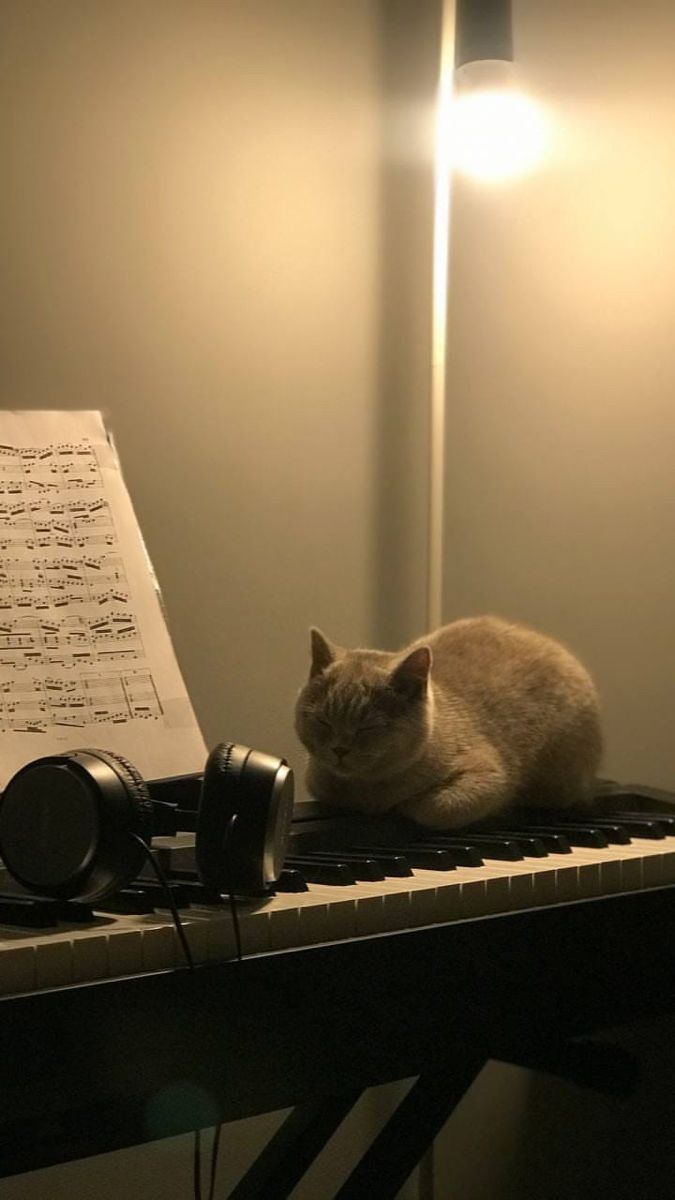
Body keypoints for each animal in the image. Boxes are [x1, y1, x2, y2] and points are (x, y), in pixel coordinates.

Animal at [293, 614, 598, 830]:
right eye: (323, 721)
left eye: (368, 727)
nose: (339, 749)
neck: (365, 790)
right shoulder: (317, 782)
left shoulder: (491, 777)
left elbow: (437, 807)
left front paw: (405, 804)